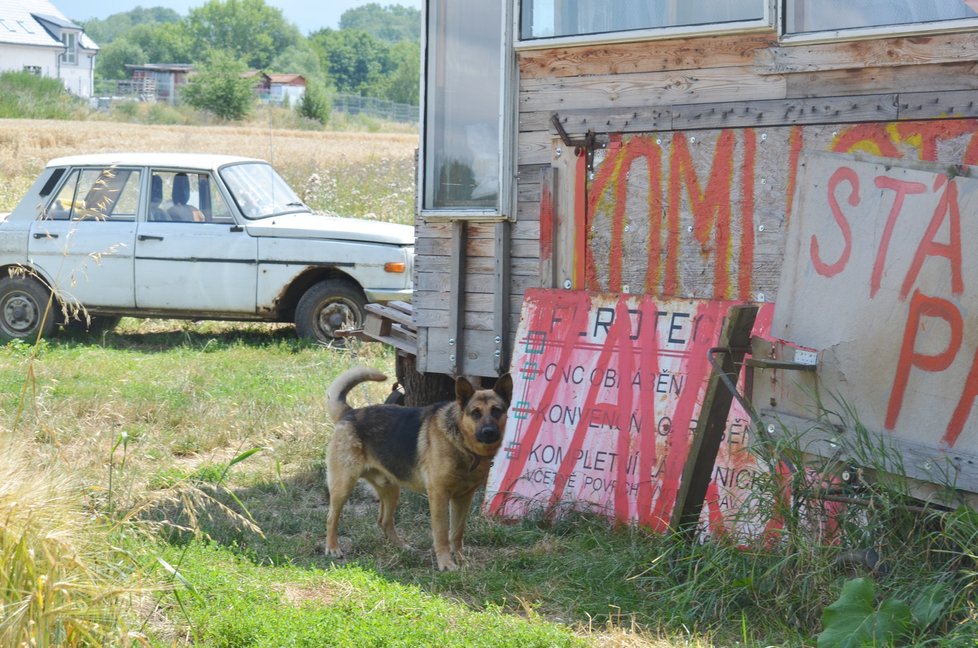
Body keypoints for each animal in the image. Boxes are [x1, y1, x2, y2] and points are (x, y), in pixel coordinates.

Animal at [326, 368, 516, 568]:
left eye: (496, 411)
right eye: (476, 413)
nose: (489, 432)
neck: (462, 444)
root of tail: (349, 413)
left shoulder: (463, 498)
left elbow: (457, 532)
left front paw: (461, 559)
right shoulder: (439, 496)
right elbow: (441, 533)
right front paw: (446, 563)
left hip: (391, 490)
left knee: (384, 521)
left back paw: (402, 547)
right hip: (343, 487)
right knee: (331, 518)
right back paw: (332, 547)